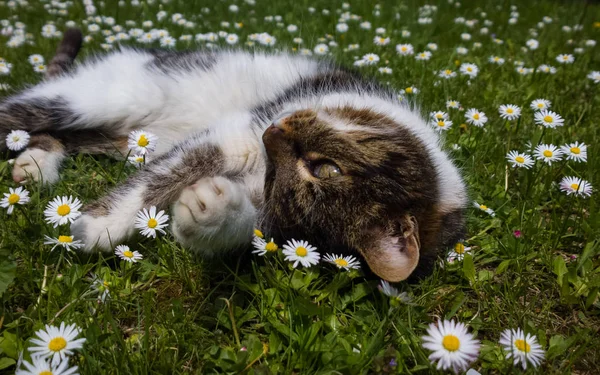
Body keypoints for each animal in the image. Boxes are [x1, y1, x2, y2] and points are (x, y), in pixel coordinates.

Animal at [0, 29, 468, 282]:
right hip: (101, 97)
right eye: (326, 167)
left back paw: (34, 163)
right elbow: (159, 178)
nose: (272, 132)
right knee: (23, 113)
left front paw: (206, 210)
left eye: (282, 184)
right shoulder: (236, 132)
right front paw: (99, 226)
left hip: (115, 135)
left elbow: (238, 225)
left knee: (58, 134)